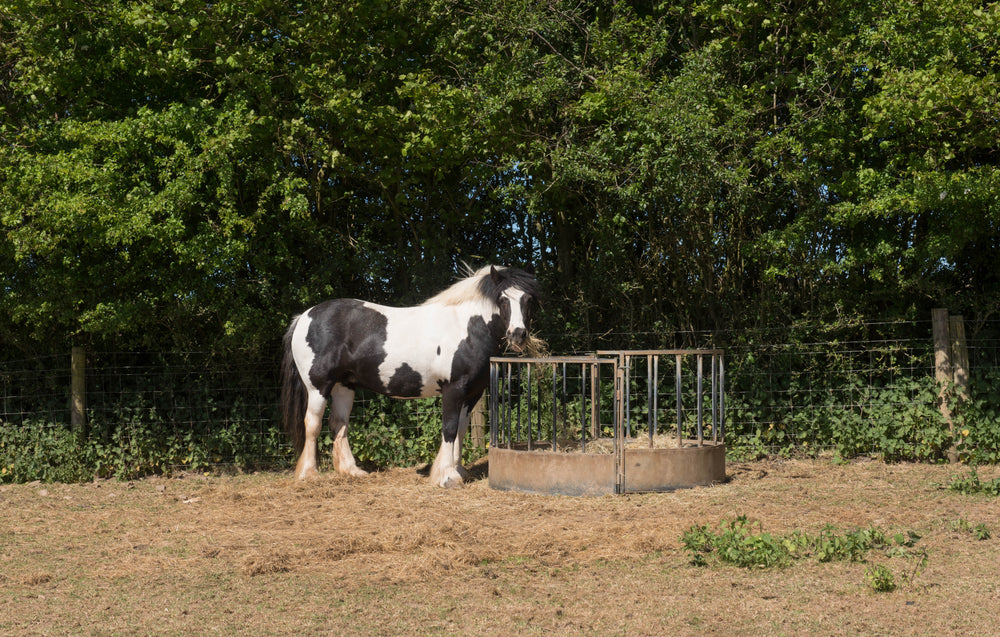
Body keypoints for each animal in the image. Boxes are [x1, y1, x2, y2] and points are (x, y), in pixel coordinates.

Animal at [280, 265, 540, 488]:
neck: (467, 328)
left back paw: (352, 471)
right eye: (503, 300)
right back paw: (309, 474)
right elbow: (449, 428)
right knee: (313, 424)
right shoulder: (453, 389)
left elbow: (461, 429)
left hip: (344, 386)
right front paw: (447, 477)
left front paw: (458, 470)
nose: (518, 335)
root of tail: (303, 317)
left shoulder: (472, 394)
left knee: (338, 423)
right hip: (318, 387)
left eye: (528, 299)